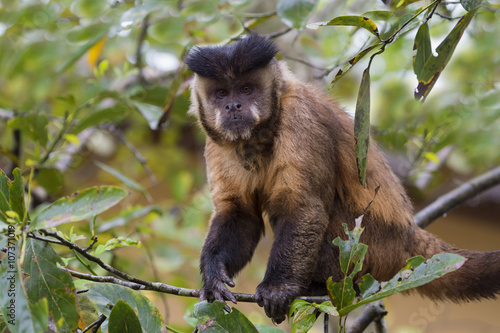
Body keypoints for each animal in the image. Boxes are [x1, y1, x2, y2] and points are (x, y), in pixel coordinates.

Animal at [184, 35, 500, 322]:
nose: (233, 107)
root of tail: (407, 232)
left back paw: (324, 287)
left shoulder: (301, 117)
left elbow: (304, 207)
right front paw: (213, 276)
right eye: (222, 93)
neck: (261, 135)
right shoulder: (217, 143)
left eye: (246, 89)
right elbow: (240, 213)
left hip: (375, 246)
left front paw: (278, 288)